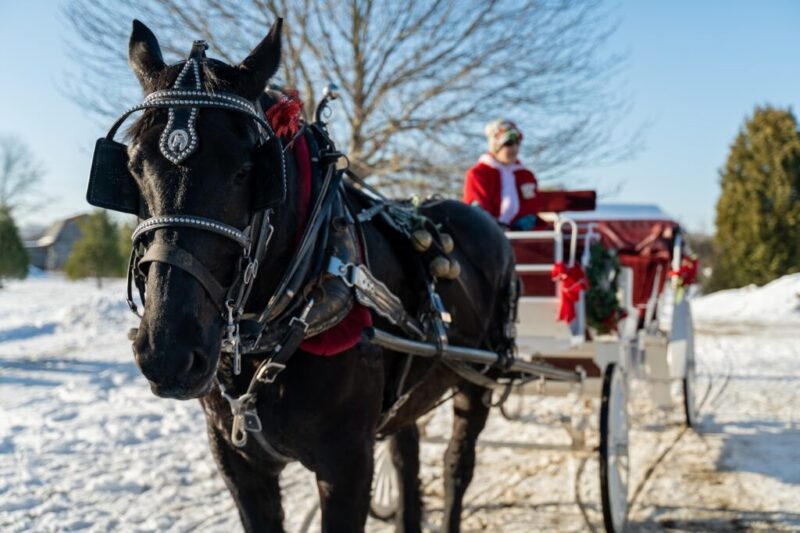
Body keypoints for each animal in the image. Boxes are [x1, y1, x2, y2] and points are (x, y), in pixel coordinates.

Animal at [110, 18, 517, 532]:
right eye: (133, 165)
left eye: (246, 170)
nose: (167, 352)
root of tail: (487, 223)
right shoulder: (240, 467)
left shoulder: (347, 467)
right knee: (407, 457)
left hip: (478, 381)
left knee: (456, 468)